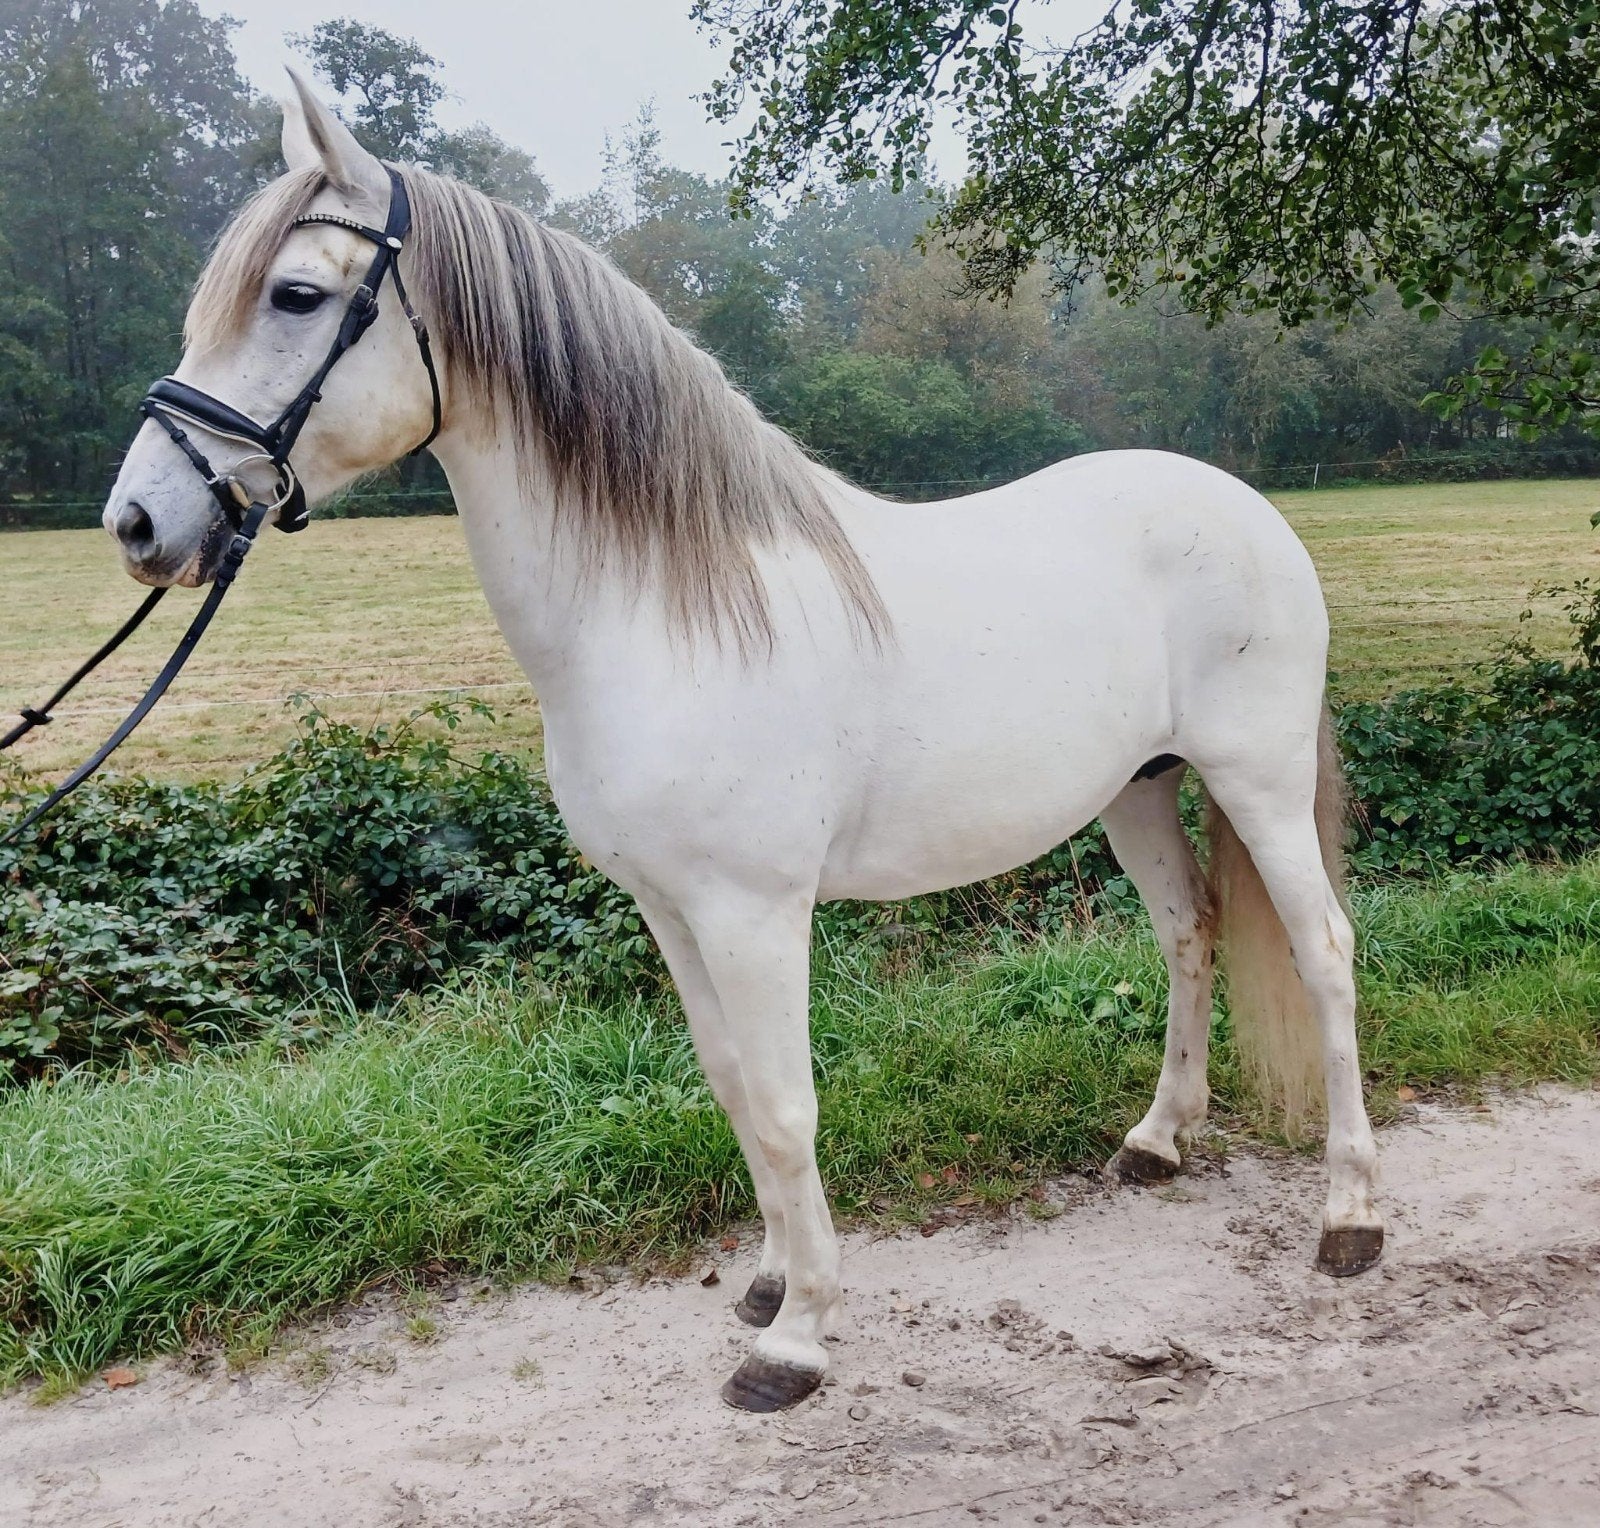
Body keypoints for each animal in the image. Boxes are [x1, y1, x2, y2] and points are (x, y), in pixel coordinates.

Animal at [104, 74, 1382, 1413]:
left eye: (296, 295)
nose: (139, 521)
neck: (662, 608)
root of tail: (1245, 508)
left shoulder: (753, 910)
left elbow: (780, 1103)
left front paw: (797, 1337)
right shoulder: (670, 909)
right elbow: (728, 1085)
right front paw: (769, 1283)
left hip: (1256, 783)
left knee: (1323, 951)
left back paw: (1350, 1216)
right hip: (1136, 790)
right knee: (1188, 933)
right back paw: (1157, 1140)